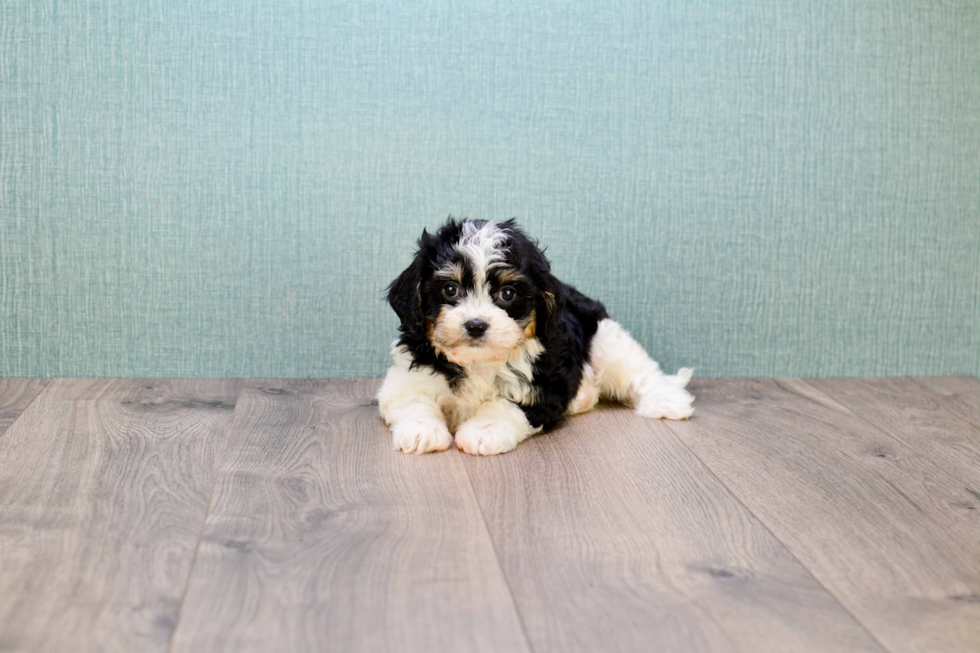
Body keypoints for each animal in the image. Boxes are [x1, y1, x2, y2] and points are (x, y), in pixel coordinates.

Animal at [378, 219, 692, 454]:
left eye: (507, 294)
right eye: (450, 289)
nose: (476, 325)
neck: (478, 362)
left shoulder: (542, 386)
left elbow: (507, 404)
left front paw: (484, 430)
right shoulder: (408, 374)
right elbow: (413, 398)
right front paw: (422, 431)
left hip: (605, 339)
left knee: (638, 371)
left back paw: (667, 401)